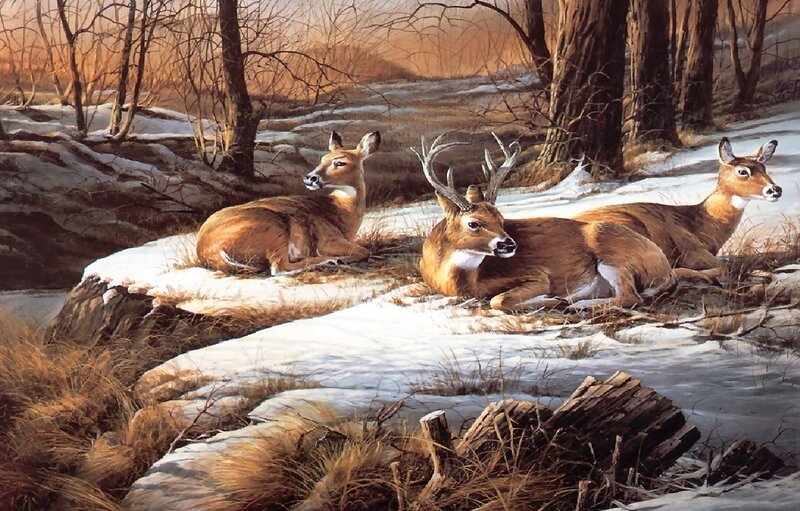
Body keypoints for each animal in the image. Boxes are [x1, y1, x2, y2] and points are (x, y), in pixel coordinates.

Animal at [196, 131, 380, 275]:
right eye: (322, 159)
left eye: (340, 162)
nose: (310, 178)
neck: (340, 211)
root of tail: (206, 249)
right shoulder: (327, 240)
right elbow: (364, 252)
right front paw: (342, 258)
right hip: (273, 227)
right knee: (279, 268)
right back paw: (330, 260)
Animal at [416, 133, 677, 312]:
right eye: (474, 223)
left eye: (501, 219)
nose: (509, 245)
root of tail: (665, 267)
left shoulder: (538, 275)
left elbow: (498, 300)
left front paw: (550, 299)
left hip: (611, 251)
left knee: (631, 296)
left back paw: (574, 305)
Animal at [574, 137, 781, 279]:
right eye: (742, 171)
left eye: (764, 168)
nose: (775, 190)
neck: (701, 224)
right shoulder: (692, 250)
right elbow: (725, 267)